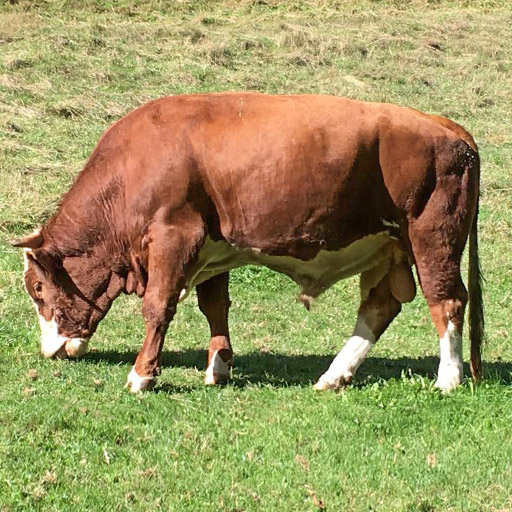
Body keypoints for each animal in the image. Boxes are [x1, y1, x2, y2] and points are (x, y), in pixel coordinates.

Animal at [13, 93, 484, 392]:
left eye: (37, 288)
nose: (48, 351)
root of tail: (446, 126)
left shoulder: (174, 237)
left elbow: (157, 307)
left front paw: (142, 375)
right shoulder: (210, 250)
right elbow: (214, 307)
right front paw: (218, 367)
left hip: (432, 239)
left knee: (447, 301)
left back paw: (448, 379)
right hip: (388, 249)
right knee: (378, 308)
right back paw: (333, 377)